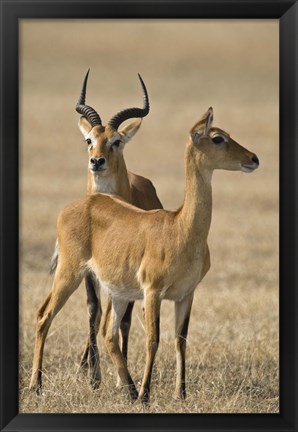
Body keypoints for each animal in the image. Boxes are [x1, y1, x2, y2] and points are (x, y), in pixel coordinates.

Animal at [29, 106, 258, 404]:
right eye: (218, 138)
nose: (253, 158)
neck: (180, 227)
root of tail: (80, 202)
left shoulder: (186, 294)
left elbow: (180, 340)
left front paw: (180, 393)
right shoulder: (153, 291)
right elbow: (153, 339)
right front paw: (147, 393)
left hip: (117, 292)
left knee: (109, 333)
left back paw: (128, 389)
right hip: (70, 273)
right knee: (44, 315)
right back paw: (37, 386)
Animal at [50, 70, 162, 388]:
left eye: (116, 141)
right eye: (89, 139)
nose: (96, 161)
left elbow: (121, 319)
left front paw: (117, 376)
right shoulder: (89, 270)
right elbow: (92, 309)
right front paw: (92, 374)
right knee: (97, 312)